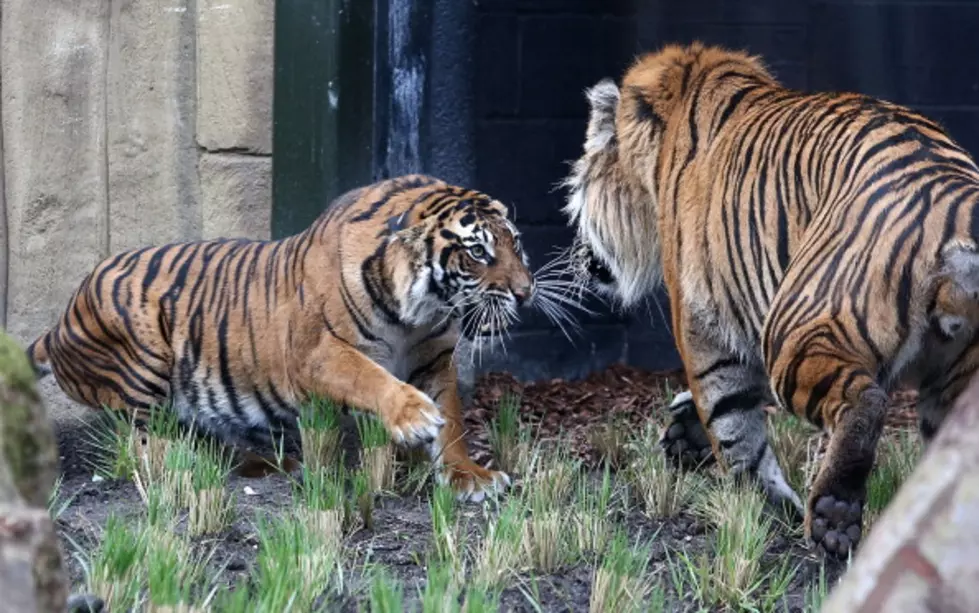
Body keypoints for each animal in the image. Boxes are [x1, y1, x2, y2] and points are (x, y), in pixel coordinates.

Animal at [28, 175, 536, 500]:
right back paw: (191, 471)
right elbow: (370, 378)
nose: (525, 292)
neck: (417, 312)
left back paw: (266, 465)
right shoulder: (316, 354)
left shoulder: (434, 359)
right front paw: (414, 418)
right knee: (145, 446)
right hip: (142, 360)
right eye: (477, 252)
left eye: (515, 243)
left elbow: (453, 421)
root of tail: (57, 326)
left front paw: (468, 476)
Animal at [564, 41, 979, 560]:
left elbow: (733, 422)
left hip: (800, 323)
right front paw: (684, 433)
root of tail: (955, 201)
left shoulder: (706, 327)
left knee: (864, 401)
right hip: (951, 381)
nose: (580, 253)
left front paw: (763, 504)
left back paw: (833, 515)